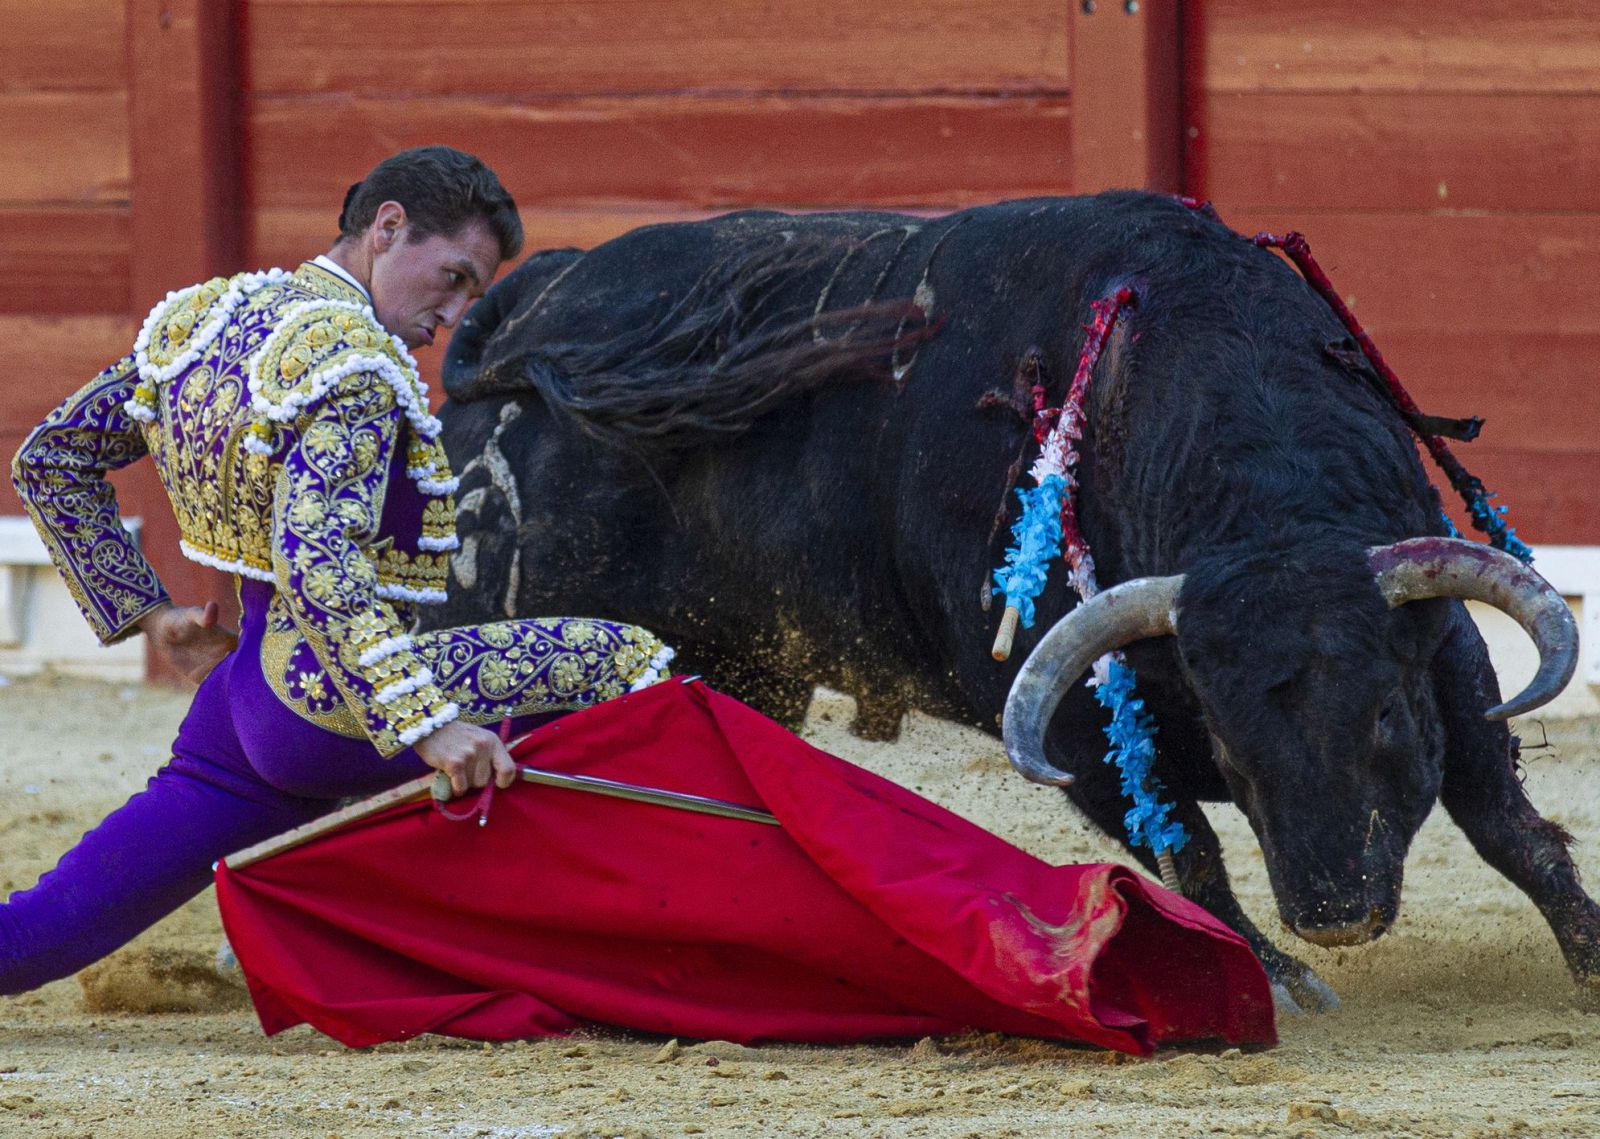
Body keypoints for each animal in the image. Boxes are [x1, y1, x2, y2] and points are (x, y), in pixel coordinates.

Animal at [428, 191, 1600, 1011]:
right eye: (1228, 737)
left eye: (1388, 715)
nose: (1337, 912)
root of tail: (526, 309)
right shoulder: (1075, 715)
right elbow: (1190, 853)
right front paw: (1283, 981)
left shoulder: (1441, 644)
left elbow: (1508, 823)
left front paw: (1588, 957)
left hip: (738, 665)